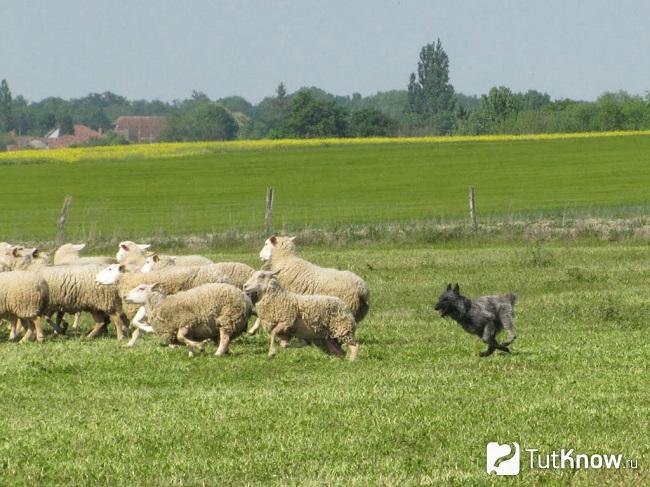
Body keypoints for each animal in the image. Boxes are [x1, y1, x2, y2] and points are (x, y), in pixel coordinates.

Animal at [123, 282, 252, 358]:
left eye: (141, 288)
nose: (124, 296)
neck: (161, 304)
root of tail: (246, 299)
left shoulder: (186, 322)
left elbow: (180, 337)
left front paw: (200, 347)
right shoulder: (186, 328)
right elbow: (185, 340)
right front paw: (191, 354)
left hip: (229, 316)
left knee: (225, 337)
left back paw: (218, 353)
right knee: (224, 338)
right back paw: (226, 351)